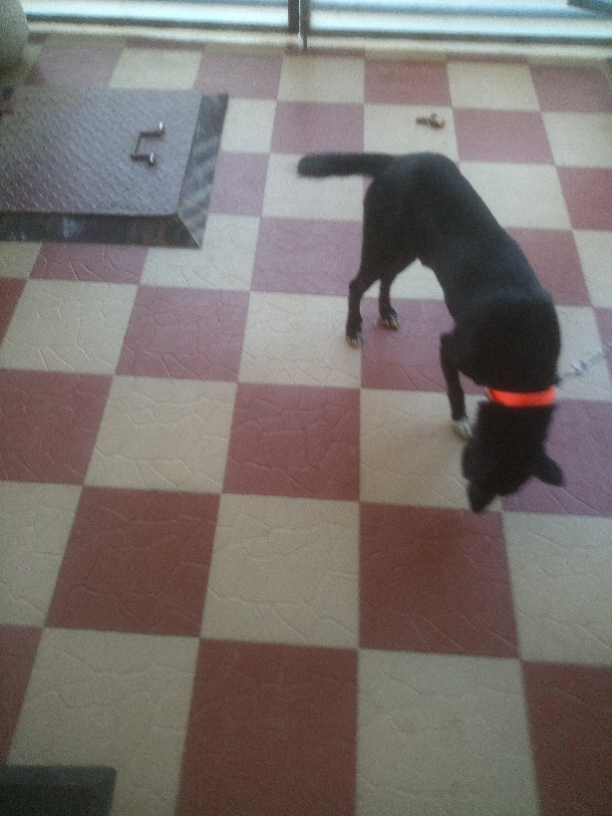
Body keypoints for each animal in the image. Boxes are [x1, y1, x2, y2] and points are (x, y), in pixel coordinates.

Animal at [297, 151, 564, 512]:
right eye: (480, 474)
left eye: (508, 488)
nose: (477, 510)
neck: (525, 354)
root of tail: (399, 160)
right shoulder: (450, 348)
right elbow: (456, 389)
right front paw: (460, 419)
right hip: (383, 243)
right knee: (357, 285)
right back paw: (353, 327)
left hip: (408, 250)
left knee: (386, 279)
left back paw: (386, 313)